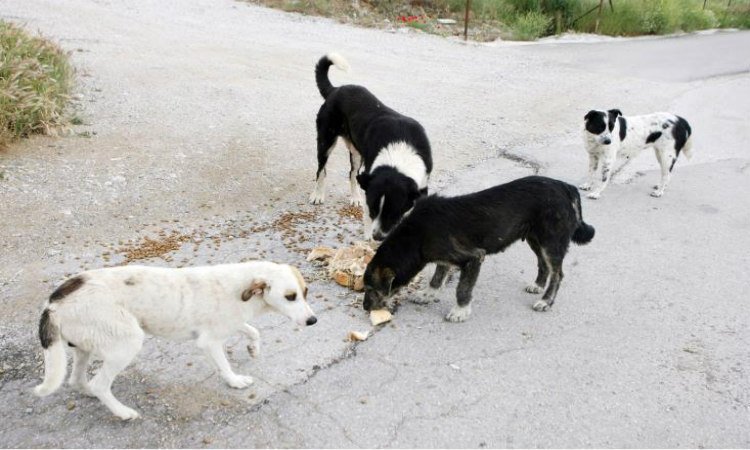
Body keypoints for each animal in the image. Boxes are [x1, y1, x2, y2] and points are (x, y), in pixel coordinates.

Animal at [33, 262, 316, 420]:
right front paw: (235, 381)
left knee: (77, 380)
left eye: (305, 292)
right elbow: (225, 366)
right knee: (100, 383)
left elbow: (252, 330)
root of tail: (53, 302)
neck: (242, 289)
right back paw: (123, 412)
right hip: (127, 343)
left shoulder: (229, 324)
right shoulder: (209, 341)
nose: (313, 321)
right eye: (290, 296)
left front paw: (253, 348)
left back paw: (90, 393)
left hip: (85, 347)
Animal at [306, 52, 434, 241]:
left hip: (357, 152)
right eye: (373, 209)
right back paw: (318, 195)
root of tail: (336, 89)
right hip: (325, 142)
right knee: (321, 170)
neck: (399, 151)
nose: (377, 237)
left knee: (352, 174)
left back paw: (355, 197)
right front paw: (367, 237)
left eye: (394, 213)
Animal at [362, 177, 596, 324]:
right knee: (542, 263)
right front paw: (429, 294)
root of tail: (566, 187)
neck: (415, 235)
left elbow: (462, 289)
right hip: (535, 239)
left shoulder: (473, 258)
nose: (364, 307)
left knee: (558, 273)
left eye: (371, 288)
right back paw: (538, 285)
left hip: (551, 242)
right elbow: (438, 275)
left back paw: (546, 301)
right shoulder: (442, 256)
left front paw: (460, 311)